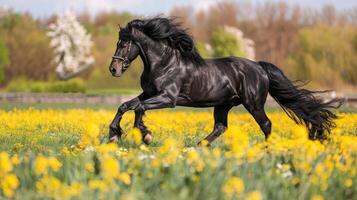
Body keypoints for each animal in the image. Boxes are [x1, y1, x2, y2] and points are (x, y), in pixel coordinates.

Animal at [107, 17, 338, 145]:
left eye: (124, 44)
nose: (113, 69)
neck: (164, 63)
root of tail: (259, 66)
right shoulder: (149, 93)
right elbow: (125, 105)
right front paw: (114, 136)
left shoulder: (167, 98)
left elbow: (138, 108)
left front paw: (144, 136)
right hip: (223, 104)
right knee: (220, 127)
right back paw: (199, 145)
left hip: (253, 104)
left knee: (265, 124)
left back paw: (267, 149)